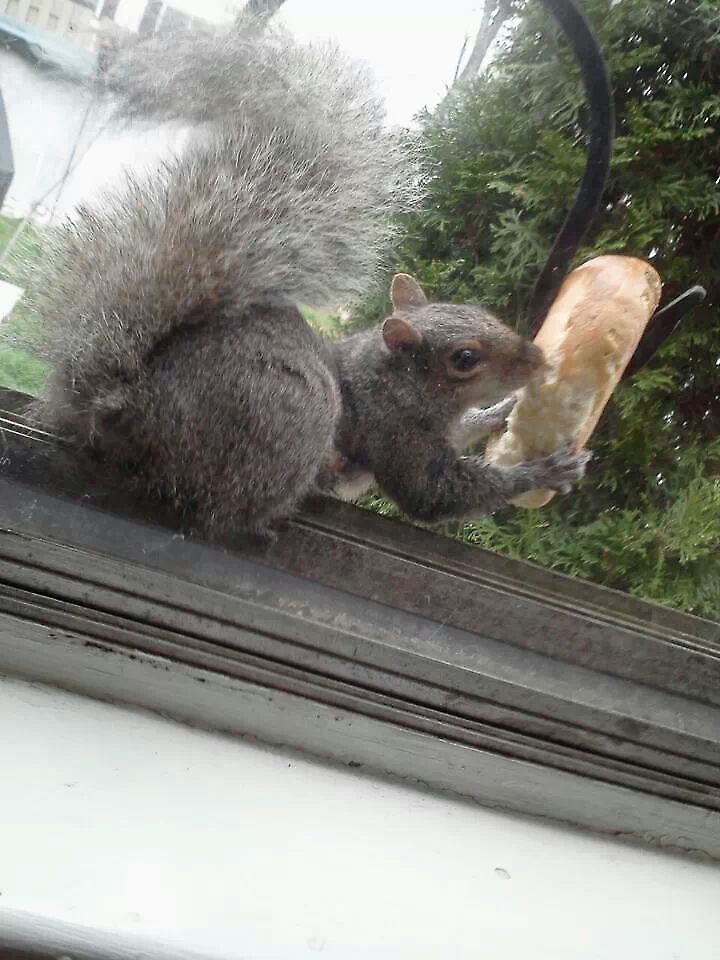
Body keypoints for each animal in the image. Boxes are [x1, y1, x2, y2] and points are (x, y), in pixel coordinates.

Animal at [29, 20, 590, 543]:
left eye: (481, 312)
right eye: (465, 359)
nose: (538, 360)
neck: (394, 384)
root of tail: (125, 409)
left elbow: (468, 430)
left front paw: (501, 412)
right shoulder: (393, 435)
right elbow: (434, 496)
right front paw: (543, 470)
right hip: (288, 418)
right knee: (219, 509)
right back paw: (263, 523)